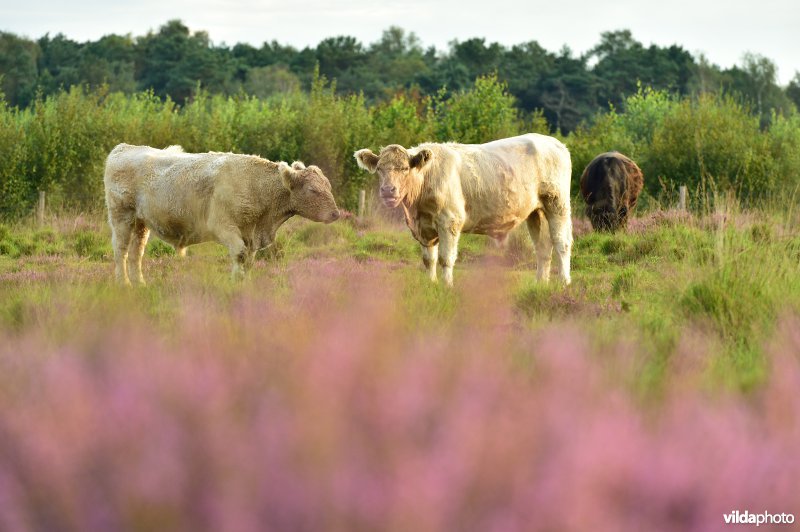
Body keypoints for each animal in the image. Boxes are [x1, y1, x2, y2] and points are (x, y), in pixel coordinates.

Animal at [354, 135, 572, 284]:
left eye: (404, 169)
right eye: (380, 169)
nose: (388, 190)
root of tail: (553, 142)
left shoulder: (449, 221)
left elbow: (446, 258)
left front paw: (447, 286)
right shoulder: (424, 228)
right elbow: (429, 259)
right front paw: (431, 284)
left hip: (557, 204)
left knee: (561, 243)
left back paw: (564, 282)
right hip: (536, 212)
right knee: (543, 248)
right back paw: (540, 283)